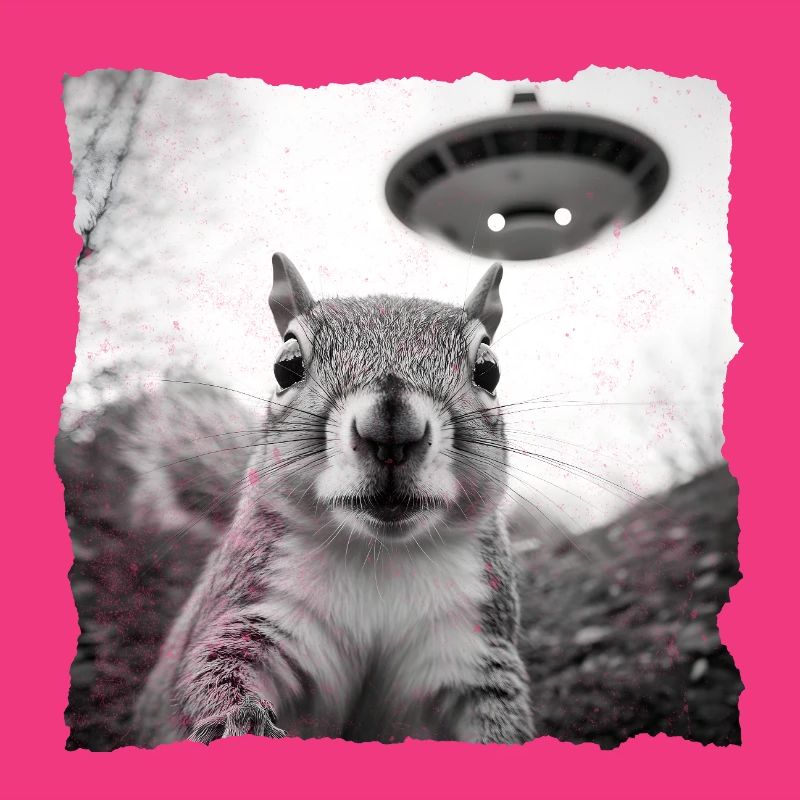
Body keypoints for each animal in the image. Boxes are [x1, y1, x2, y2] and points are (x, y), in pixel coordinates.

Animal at [132, 252, 535, 746]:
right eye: (286, 366)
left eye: (488, 370)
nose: (391, 429)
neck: (381, 555)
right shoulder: (259, 606)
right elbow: (216, 667)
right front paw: (238, 721)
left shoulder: (470, 644)